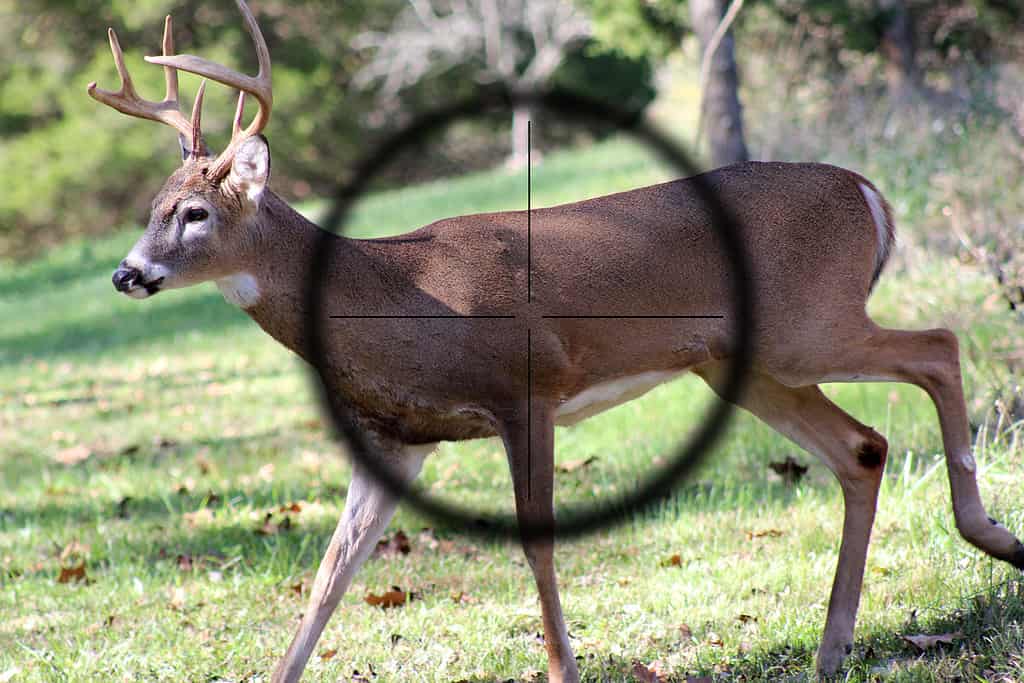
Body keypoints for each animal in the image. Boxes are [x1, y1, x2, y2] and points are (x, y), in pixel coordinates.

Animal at [88, 1, 1024, 681]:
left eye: (194, 212)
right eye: (150, 206)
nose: (127, 273)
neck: (388, 298)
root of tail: (868, 190)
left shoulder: (525, 388)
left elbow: (536, 547)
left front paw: (562, 667)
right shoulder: (399, 435)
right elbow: (329, 574)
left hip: (807, 324)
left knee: (938, 345)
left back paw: (989, 534)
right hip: (742, 363)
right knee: (862, 448)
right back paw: (834, 646)